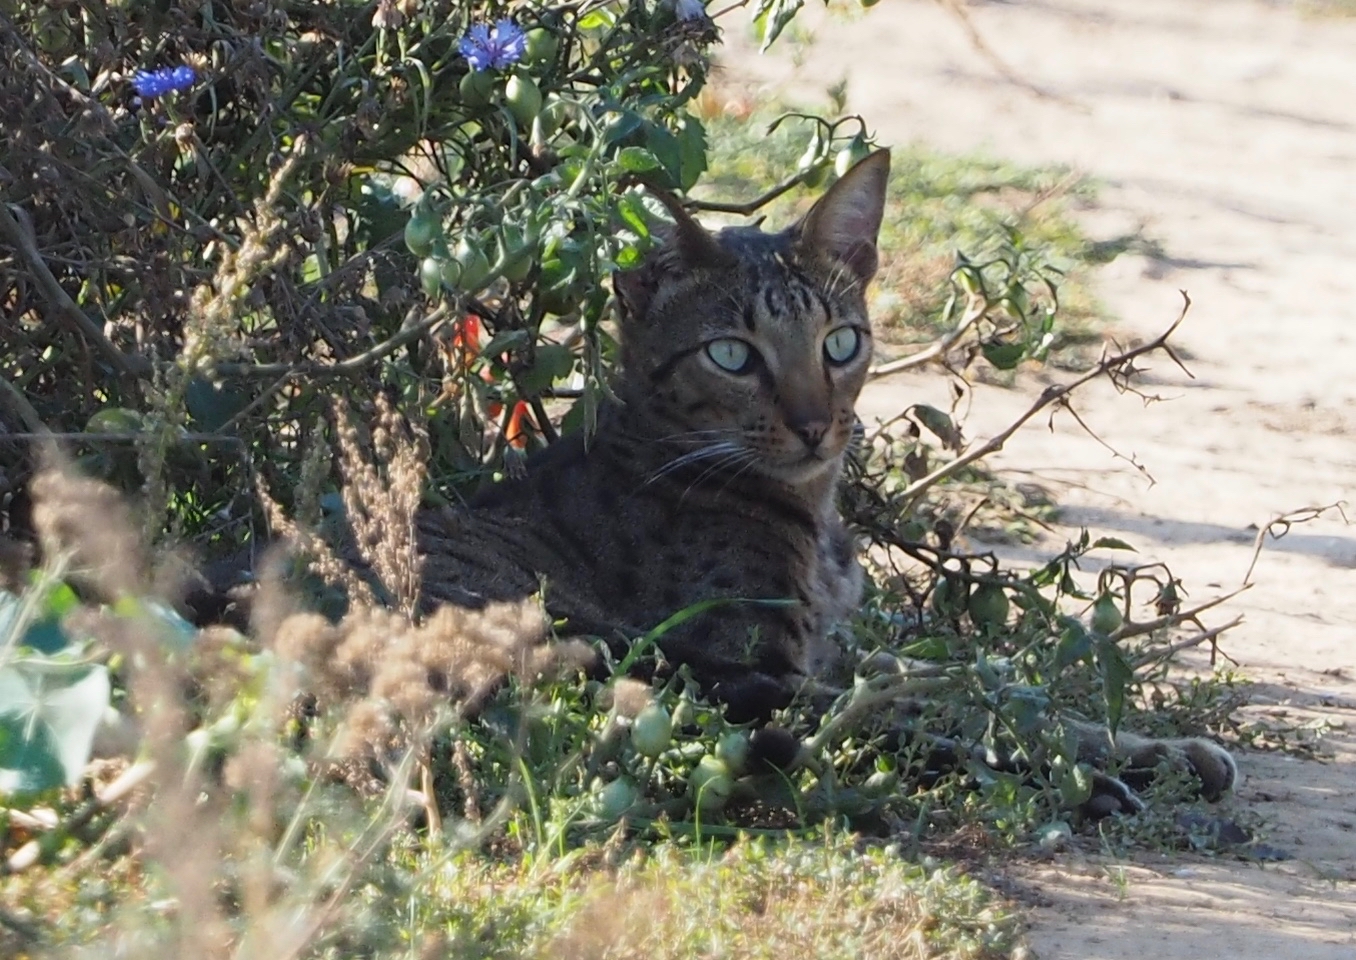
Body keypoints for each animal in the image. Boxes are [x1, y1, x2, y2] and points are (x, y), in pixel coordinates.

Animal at [414, 155, 1242, 802]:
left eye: (840, 343)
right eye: (732, 355)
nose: (816, 424)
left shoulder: (834, 650)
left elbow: (975, 680)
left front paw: (1156, 747)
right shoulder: (769, 662)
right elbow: (938, 703)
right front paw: (1102, 760)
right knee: (855, 733)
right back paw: (1072, 786)